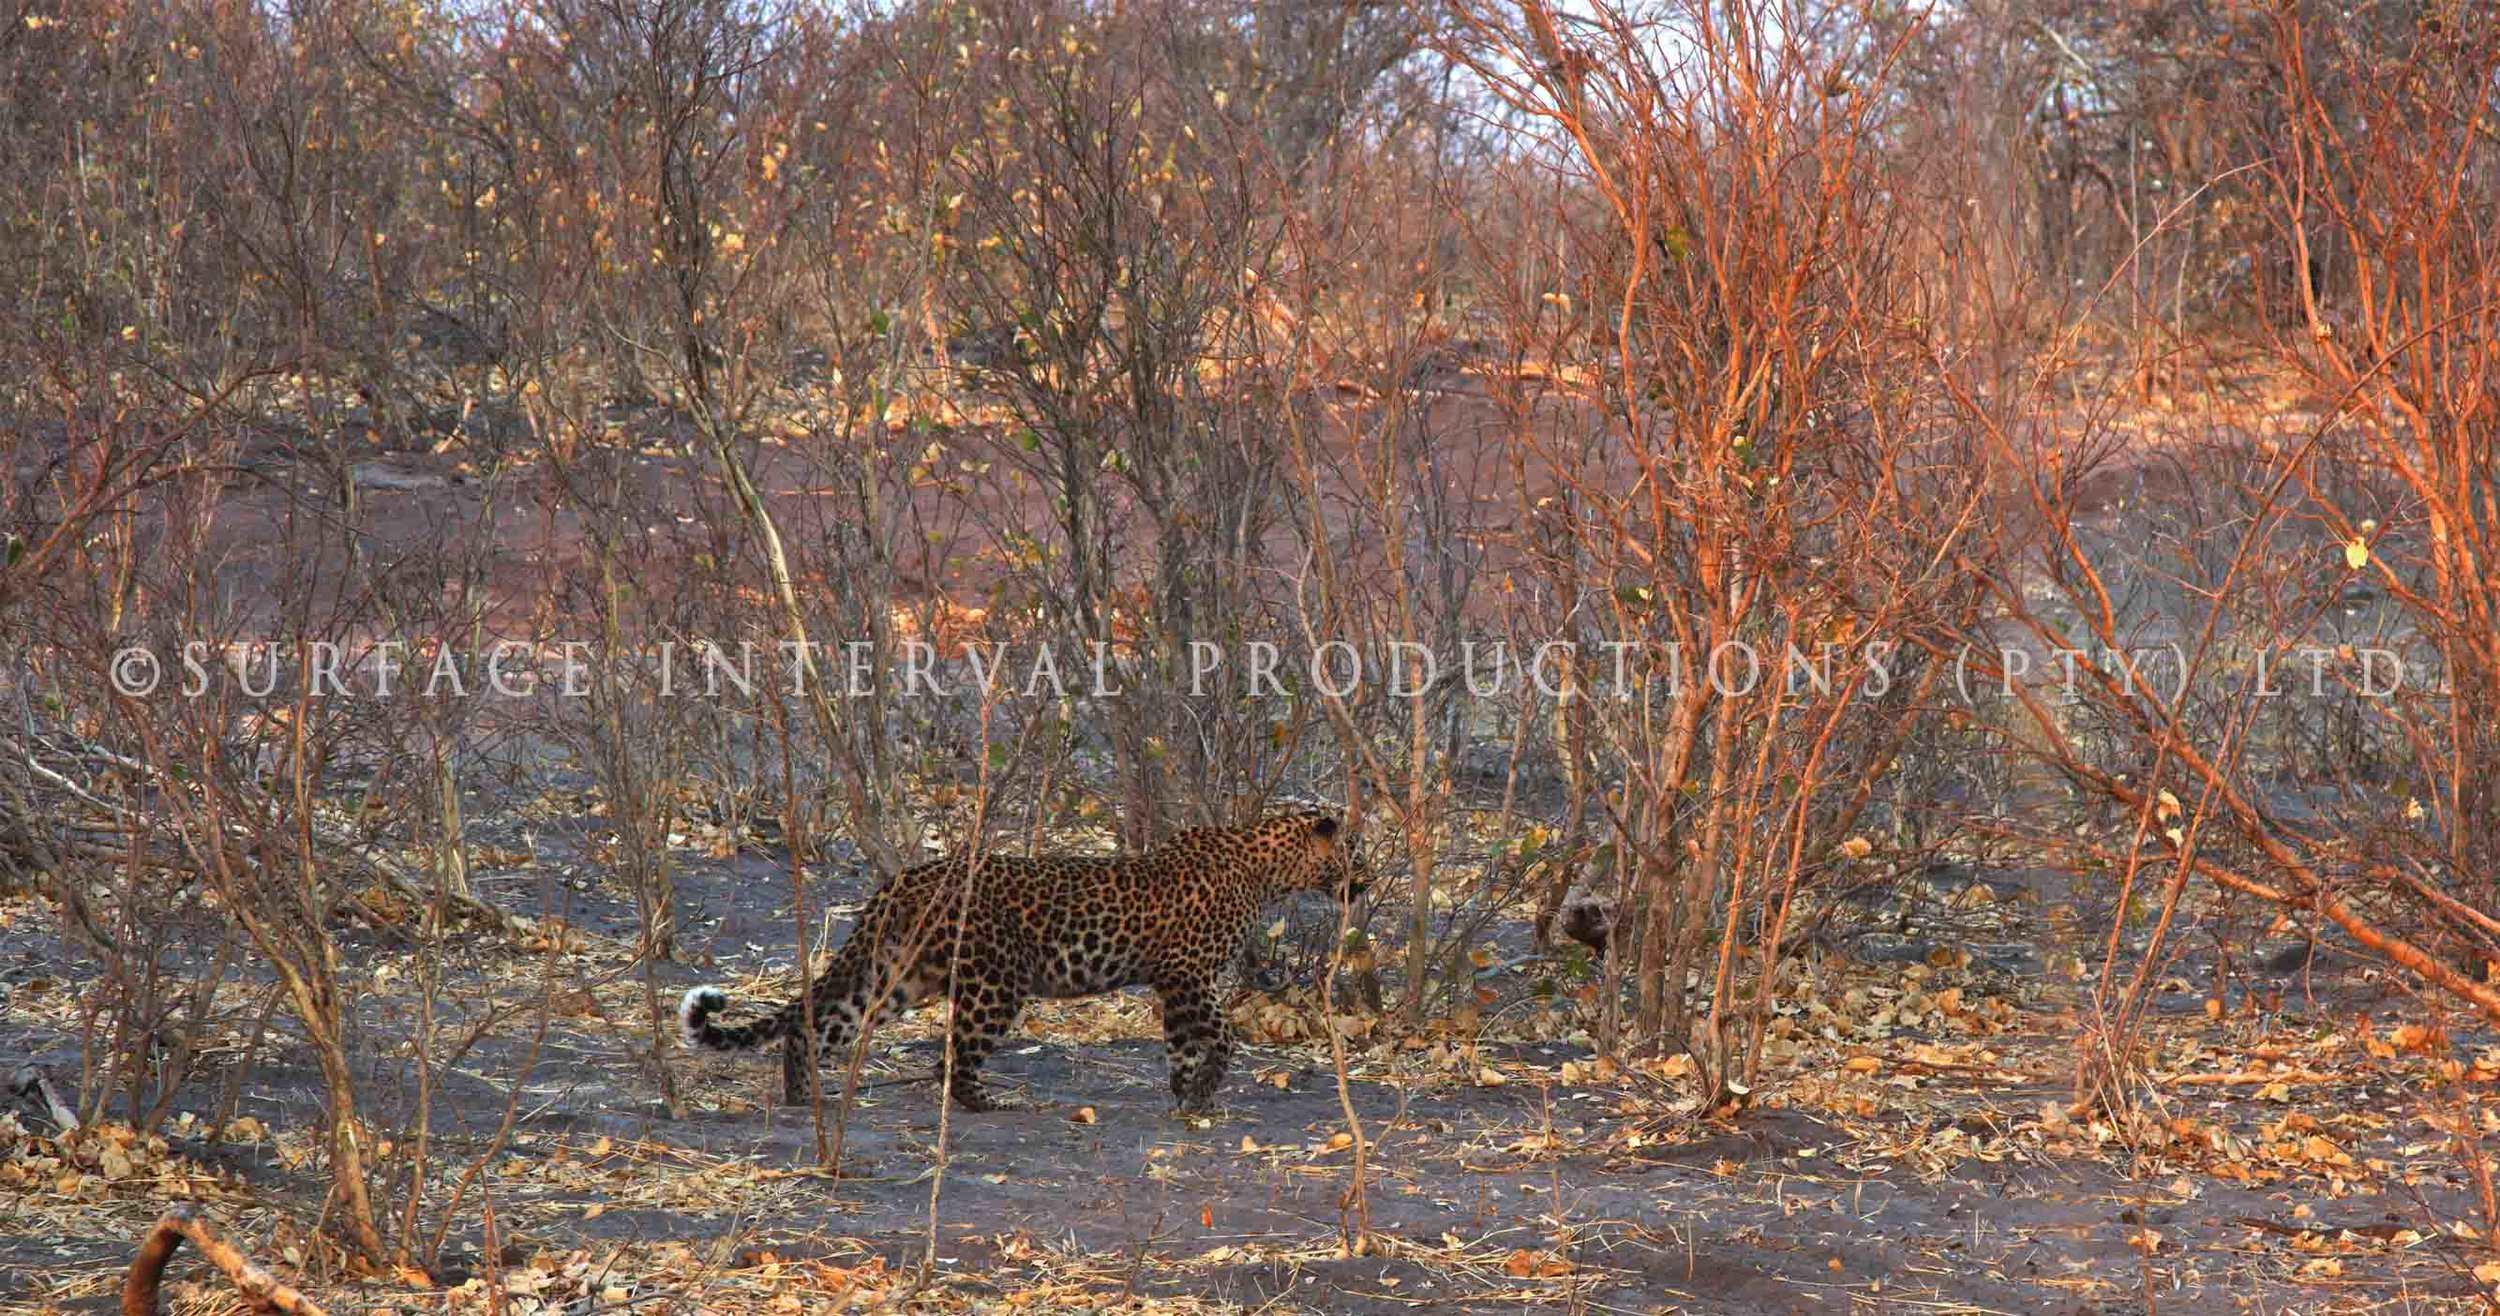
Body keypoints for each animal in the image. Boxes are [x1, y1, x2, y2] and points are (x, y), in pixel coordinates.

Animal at [679, 810, 1368, 1113]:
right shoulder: (1188, 975)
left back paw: (803, 1098)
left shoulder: (1176, 987)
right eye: (1356, 852)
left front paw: (1185, 1096)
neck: (1267, 868)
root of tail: (906, 879)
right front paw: (1200, 1093)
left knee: (812, 1027)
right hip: (995, 983)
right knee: (953, 1056)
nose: (1365, 881)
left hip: (899, 975)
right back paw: (984, 1104)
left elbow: (1181, 1045)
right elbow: (1221, 1036)